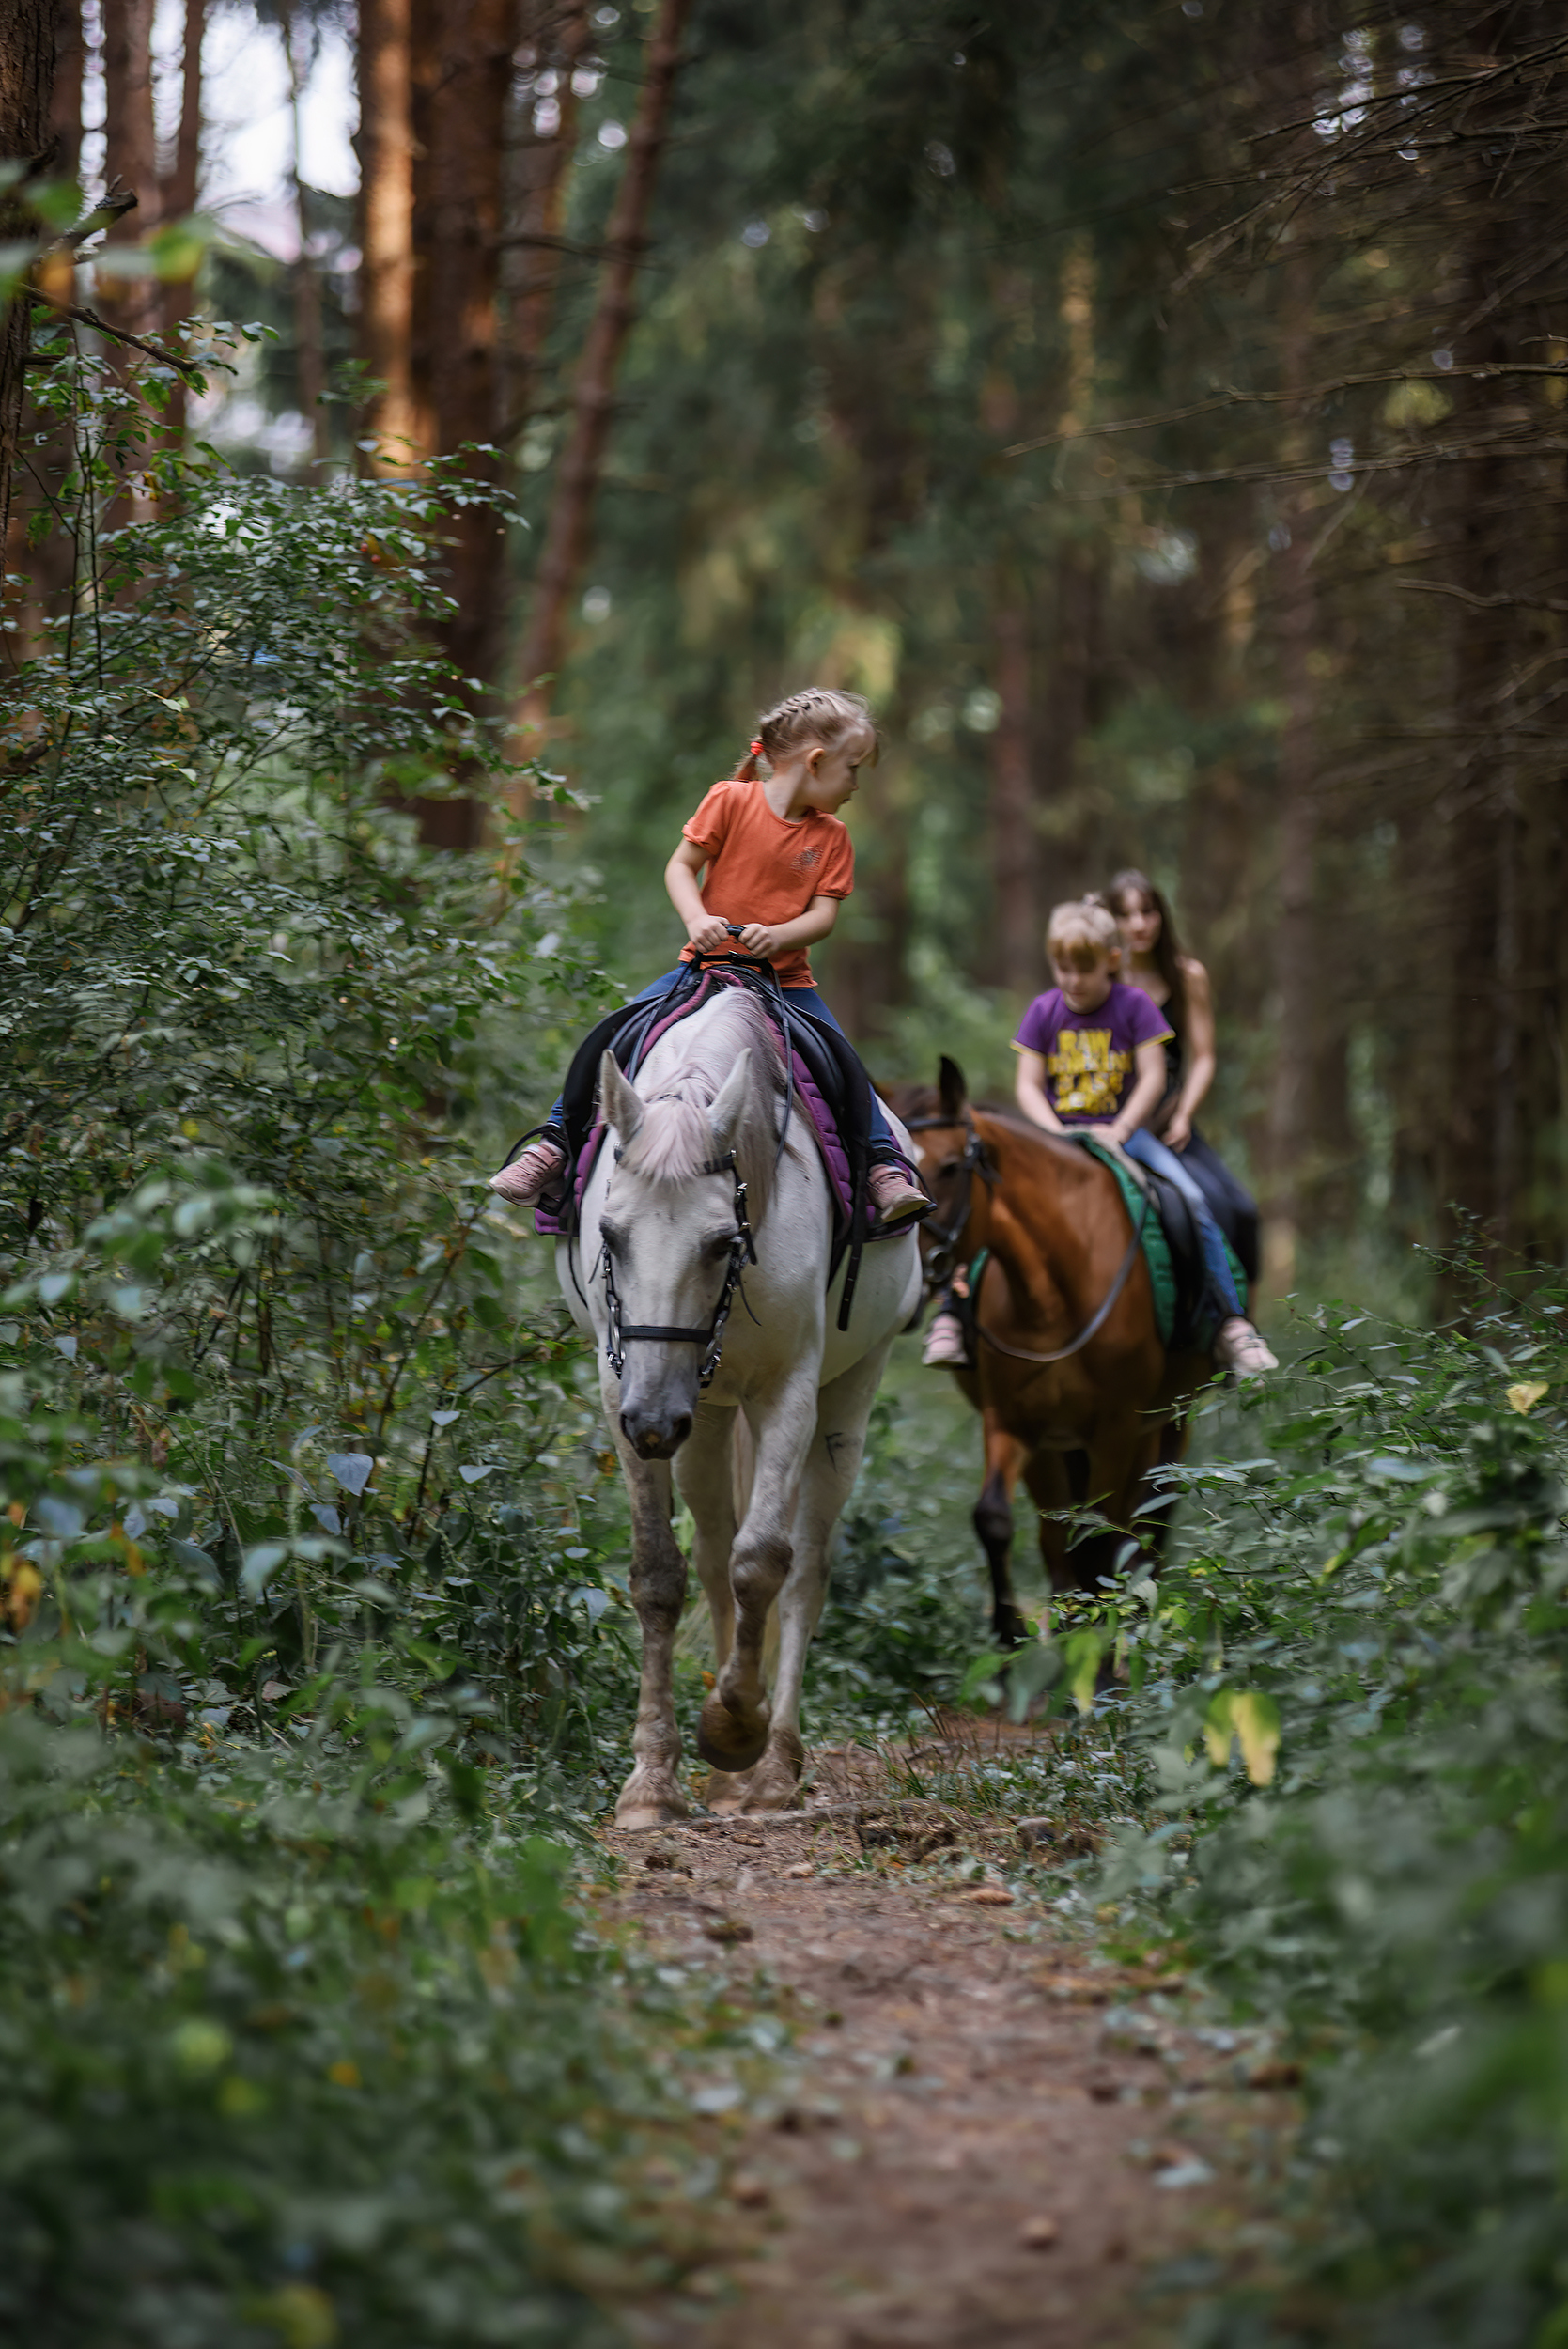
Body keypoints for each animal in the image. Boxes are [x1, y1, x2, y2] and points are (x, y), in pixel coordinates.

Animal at [561, 982, 920, 1823]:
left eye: (723, 1242)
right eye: (610, 1236)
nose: (653, 1420)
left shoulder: (789, 1388)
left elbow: (764, 1564)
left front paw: (734, 1730)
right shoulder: (621, 1388)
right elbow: (660, 1573)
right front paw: (652, 1781)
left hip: (842, 1398)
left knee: (805, 1567)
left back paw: (771, 1767)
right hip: (708, 1415)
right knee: (713, 1549)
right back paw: (723, 1784)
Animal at [887, 1057, 1211, 1644]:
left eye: (951, 1166)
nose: (908, 1276)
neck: (1051, 1299)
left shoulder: (1117, 1427)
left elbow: (1104, 1538)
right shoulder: (1014, 1420)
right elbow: (997, 1519)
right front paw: (1011, 1628)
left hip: (1172, 1418)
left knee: (1153, 1513)